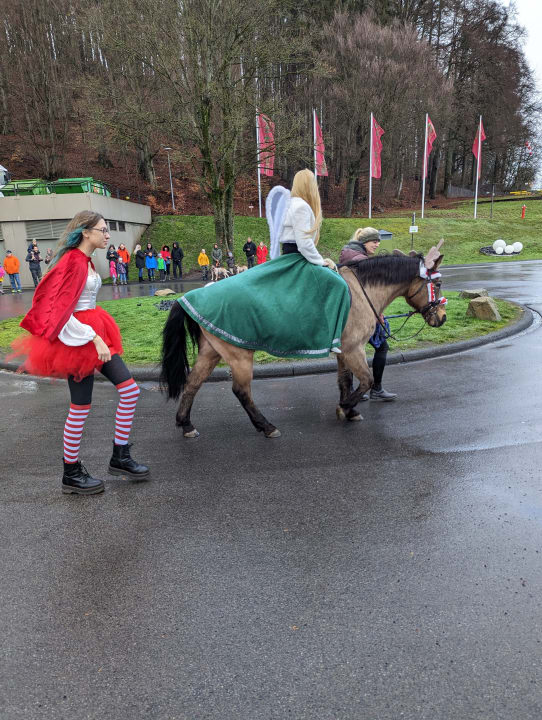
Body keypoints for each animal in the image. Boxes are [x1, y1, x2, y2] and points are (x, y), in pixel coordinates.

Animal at [160, 248, 446, 438]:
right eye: (439, 283)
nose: (442, 317)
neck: (360, 291)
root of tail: (192, 296)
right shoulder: (353, 349)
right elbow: (365, 380)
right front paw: (345, 407)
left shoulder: (343, 351)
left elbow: (345, 380)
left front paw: (350, 410)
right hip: (240, 356)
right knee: (241, 391)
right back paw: (266, 426)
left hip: (212, 352)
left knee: (193, 383)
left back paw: (186, 424)